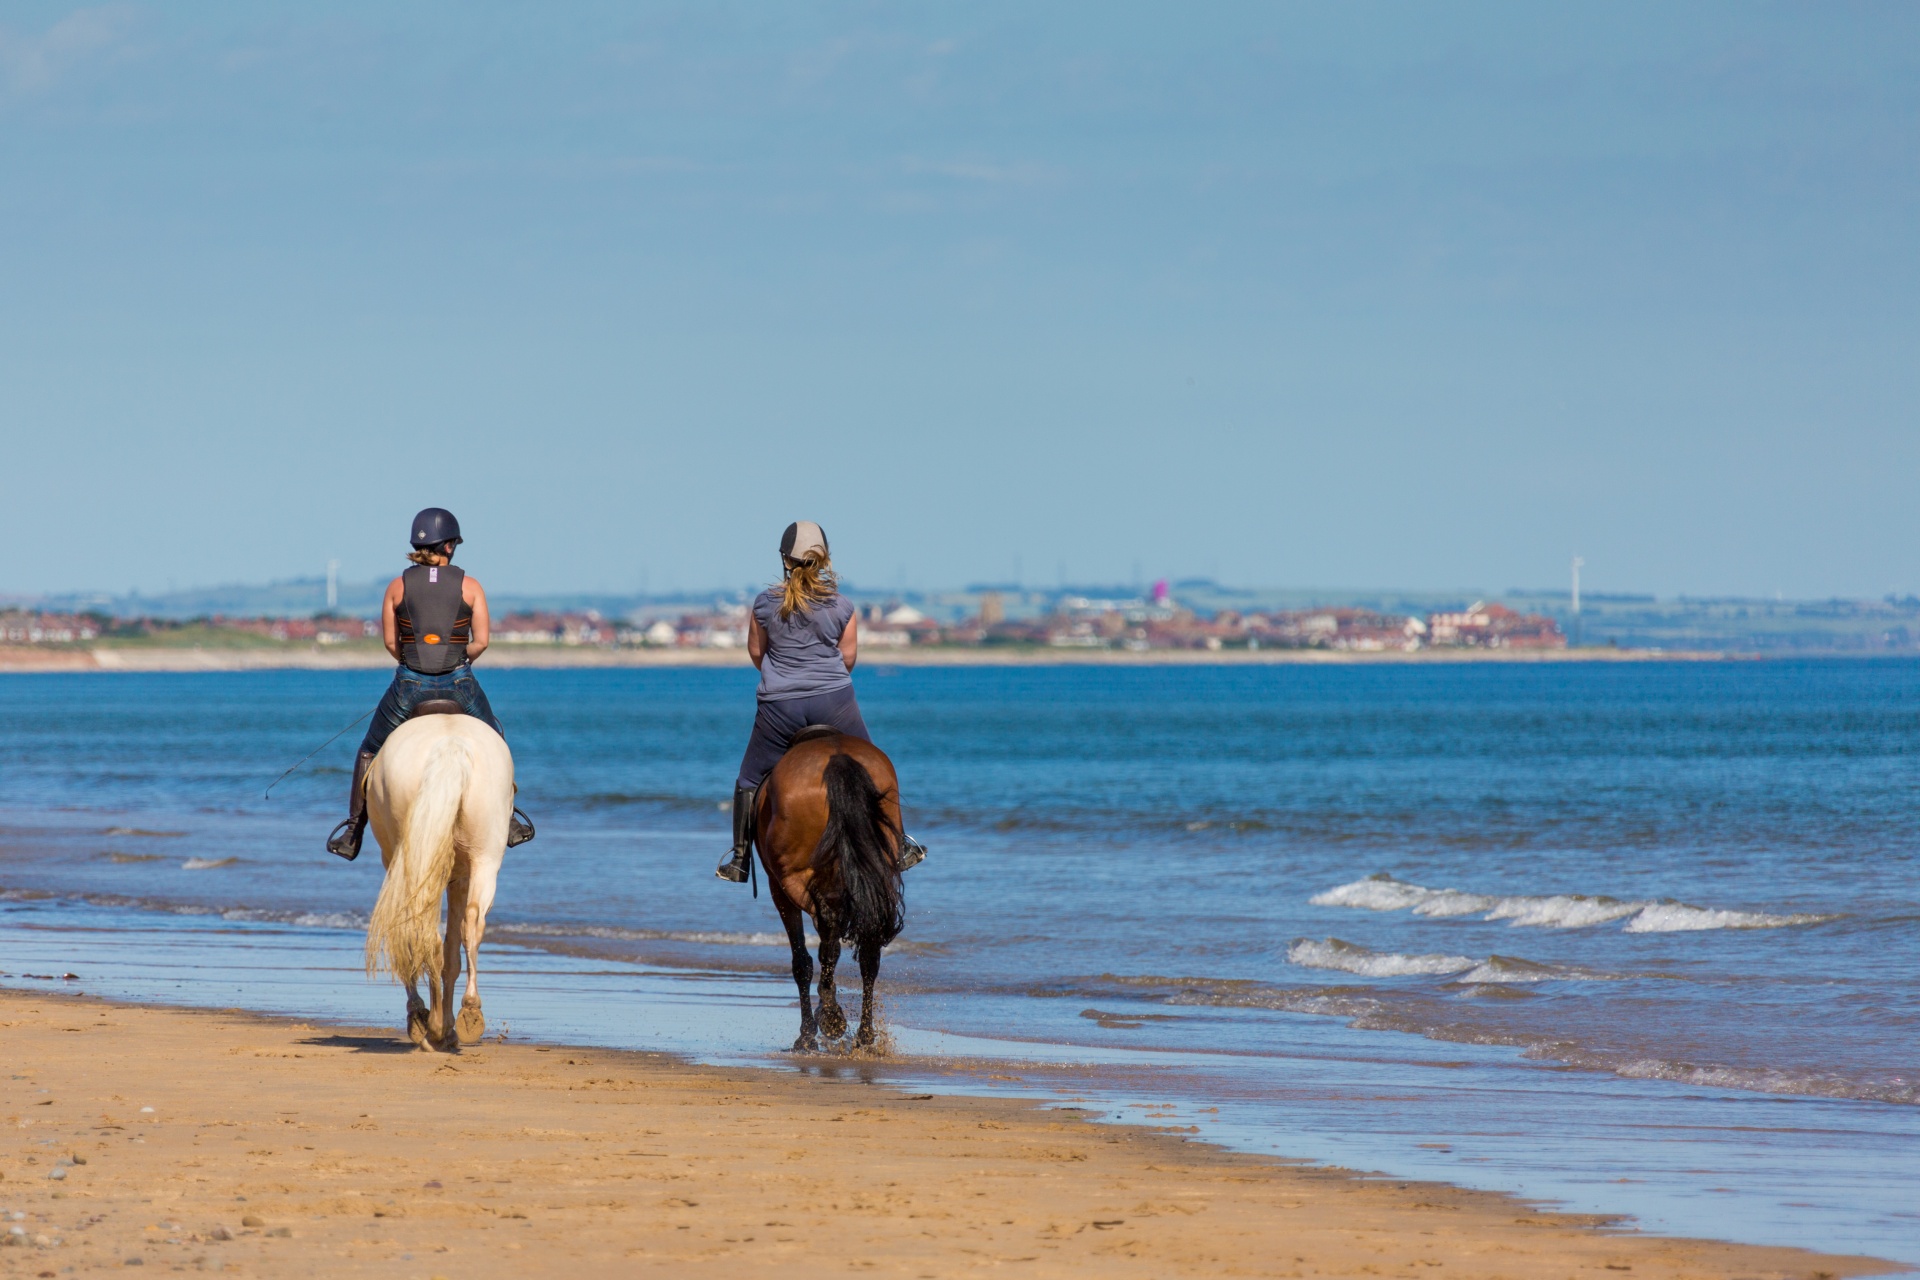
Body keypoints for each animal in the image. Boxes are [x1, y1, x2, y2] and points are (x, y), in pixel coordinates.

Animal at [362, 710, 514, 1051]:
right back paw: (468, 1015)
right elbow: (452, 952)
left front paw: (433, 1022)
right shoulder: (460, 876)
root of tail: (450, 746)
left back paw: (428, 1022)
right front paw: (447, 1025)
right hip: (486, 857)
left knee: (421, 931)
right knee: (470, 923)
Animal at [752, 729, 910, 1051]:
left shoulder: (781, 890)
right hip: (879, 875)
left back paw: (831, 1019)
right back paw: (864, 1035)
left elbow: (802, 960)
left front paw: (809, 1031)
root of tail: (836, 757)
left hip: (793, 880)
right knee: (868, 951)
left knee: (825, 939)